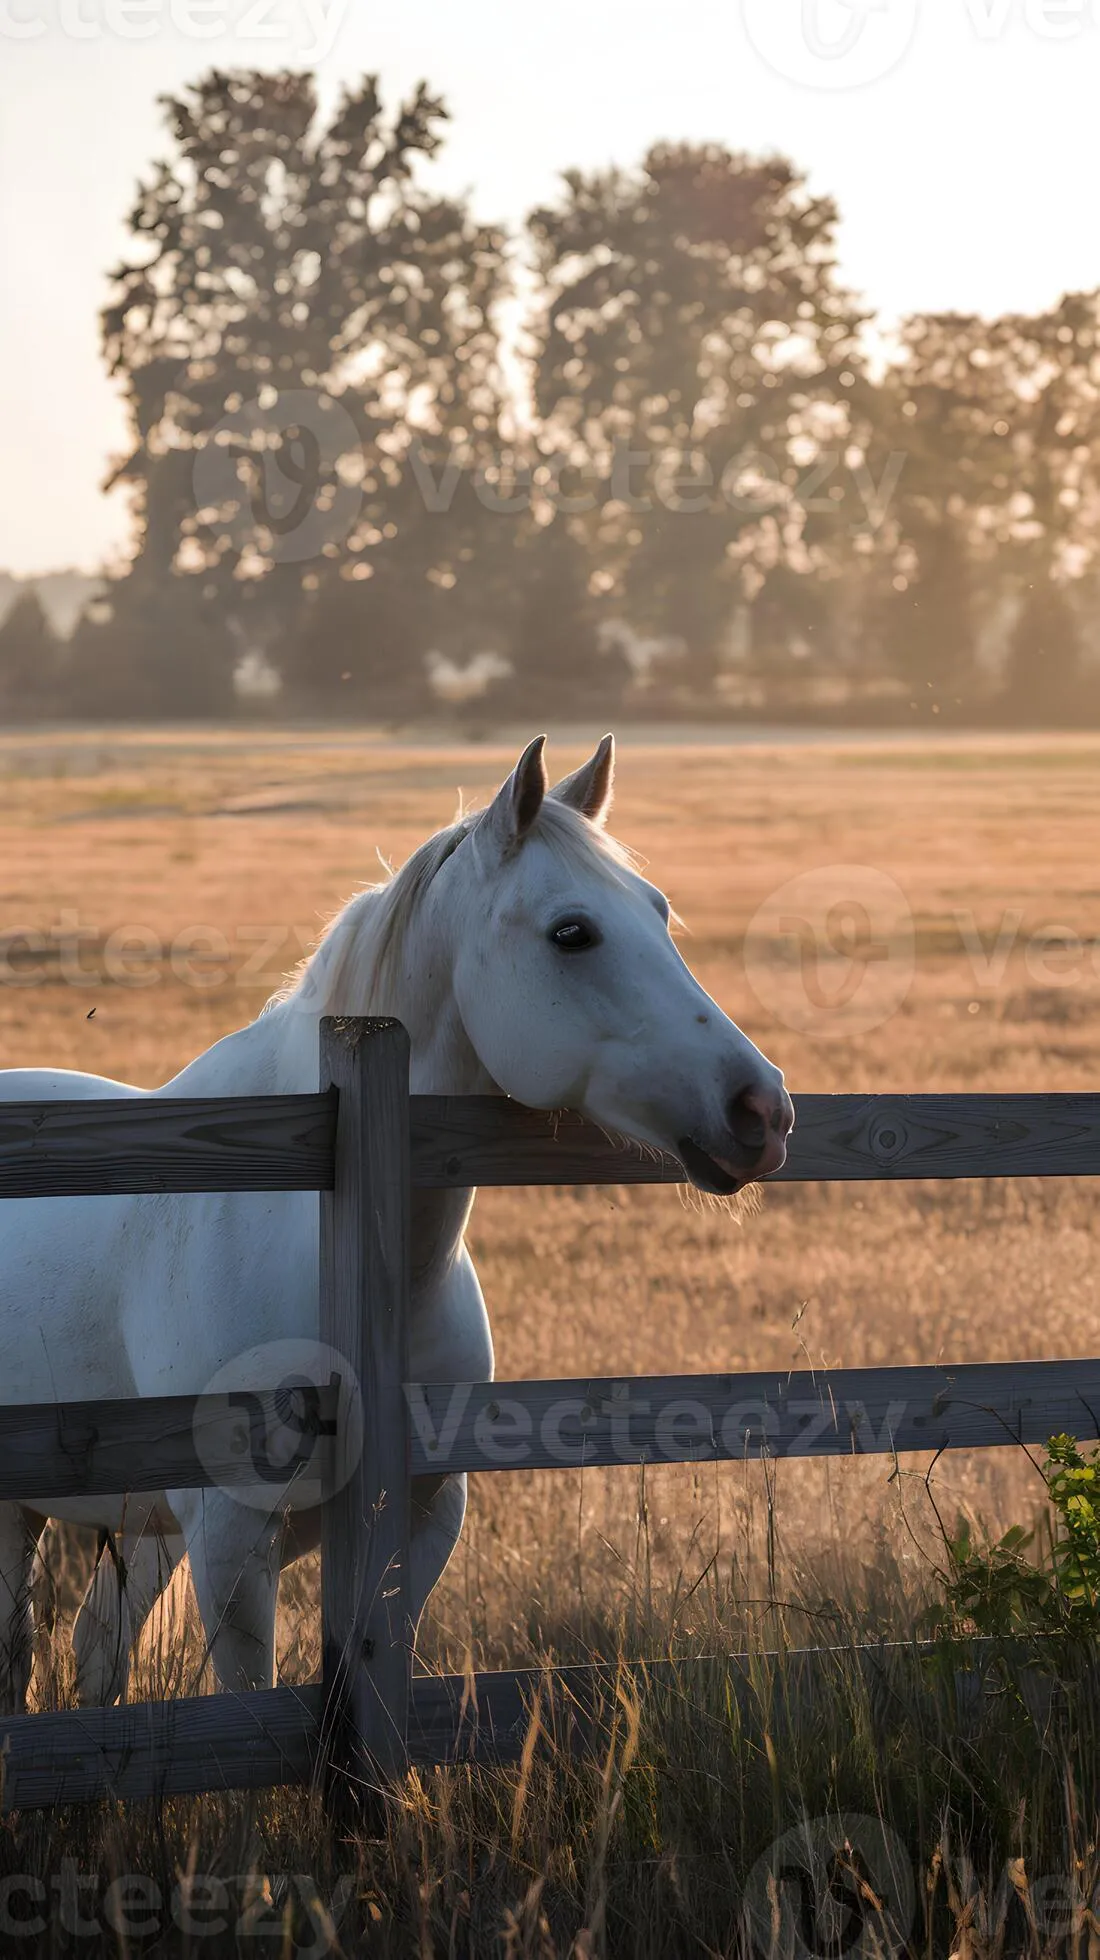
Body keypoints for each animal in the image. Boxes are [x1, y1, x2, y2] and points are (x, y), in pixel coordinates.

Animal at [0, 734, 793, 1710]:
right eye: (573, 932)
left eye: (659, 913)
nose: (762, 1109)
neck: (340, 1235)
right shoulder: (231, 1538)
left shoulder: (416, 1520)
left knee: (94, 1649)